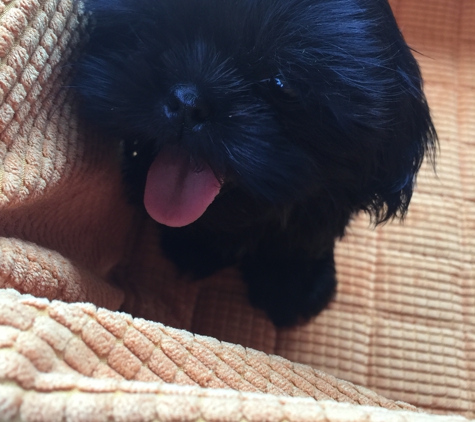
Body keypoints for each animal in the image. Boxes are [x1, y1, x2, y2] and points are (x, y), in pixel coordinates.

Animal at [75, 0, 438, 326]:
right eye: (149, 27)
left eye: (282, 84)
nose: (187, 102)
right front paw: (197, 247)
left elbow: (306, 238)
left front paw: (293, 283)